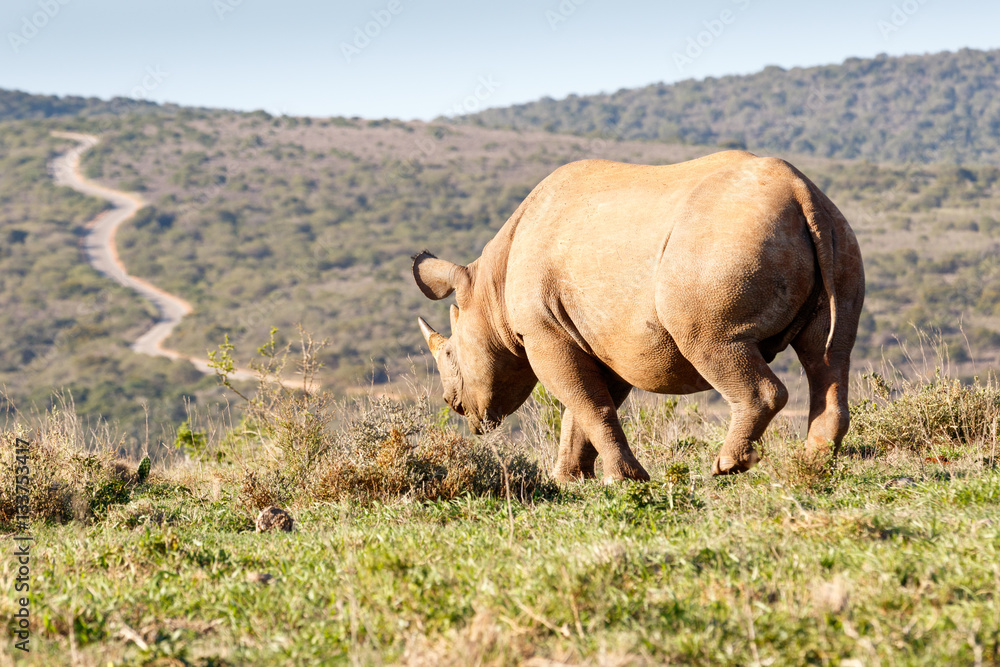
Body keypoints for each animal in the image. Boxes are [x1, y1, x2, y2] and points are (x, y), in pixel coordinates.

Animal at [413, 151, 864, 482]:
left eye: (451, 354)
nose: (454, 406)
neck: (489, 292)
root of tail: (801, 191)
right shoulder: (600, 337)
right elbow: (587, 408)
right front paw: (569, 479)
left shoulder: (544, 333)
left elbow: (587, 404)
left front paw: (625, 479)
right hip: (837, 233)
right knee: (828, 354)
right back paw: (814, 464)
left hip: (723, 244)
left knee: (714, 342)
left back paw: (726, 468)